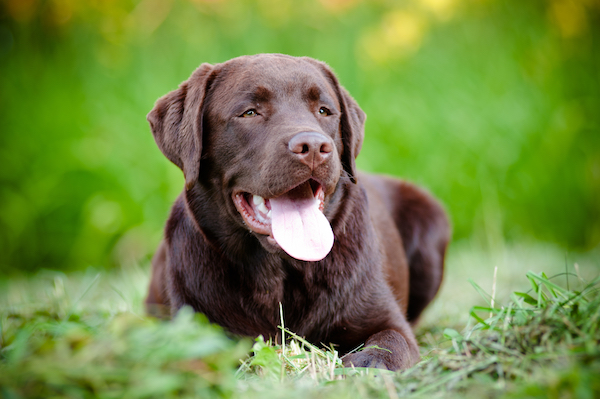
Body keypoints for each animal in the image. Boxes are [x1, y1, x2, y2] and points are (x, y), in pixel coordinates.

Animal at [143, 54, 448, 372]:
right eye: (249, 113)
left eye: (324, 110)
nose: (313, 146)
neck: (279, 273)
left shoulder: (387, 319)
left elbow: (391, 342)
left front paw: (368, 363)